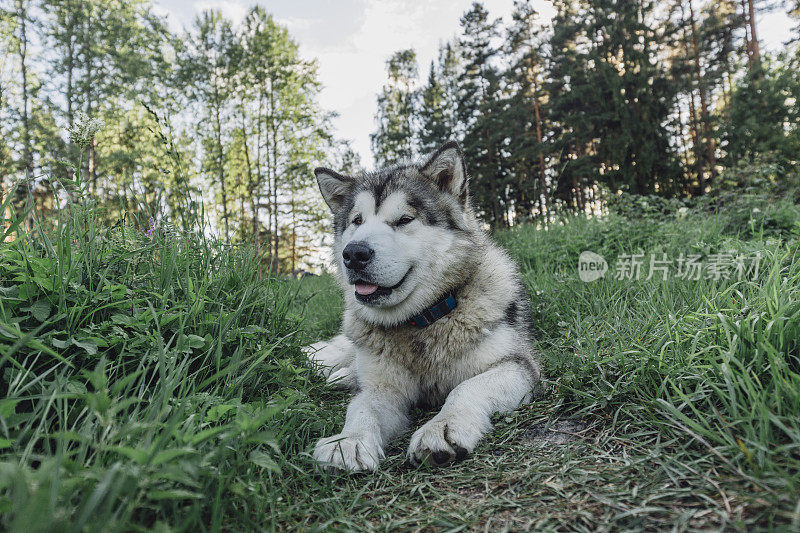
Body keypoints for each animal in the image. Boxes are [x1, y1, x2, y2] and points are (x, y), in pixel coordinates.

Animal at [304, 141, 540, 470]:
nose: (354, 254)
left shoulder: (516, 366)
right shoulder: (383, 389)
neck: (420, 322)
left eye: (404, 220)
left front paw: (443, 426)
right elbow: (362, 406)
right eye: (357, 221)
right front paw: (349, 440)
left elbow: (466, 387)